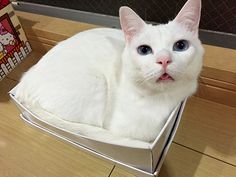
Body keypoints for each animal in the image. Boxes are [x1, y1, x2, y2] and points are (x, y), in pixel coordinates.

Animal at [15, 0, 203, 142]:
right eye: (144, 50)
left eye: (180, 45)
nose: (164, 60)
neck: (162, 99)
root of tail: (23, 84)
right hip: (95, 85)